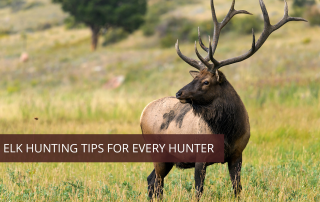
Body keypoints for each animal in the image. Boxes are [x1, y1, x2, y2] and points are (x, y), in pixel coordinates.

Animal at [139, 0, 304, 200]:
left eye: (206, 81)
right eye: (195, 77)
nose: (179, 93)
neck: (227, 132)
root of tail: (142, 113)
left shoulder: (237, 154)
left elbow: (237, 189)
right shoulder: (200, 157)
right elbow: (198, 191)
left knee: (151, 180)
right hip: (158, 153)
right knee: (157, 182)